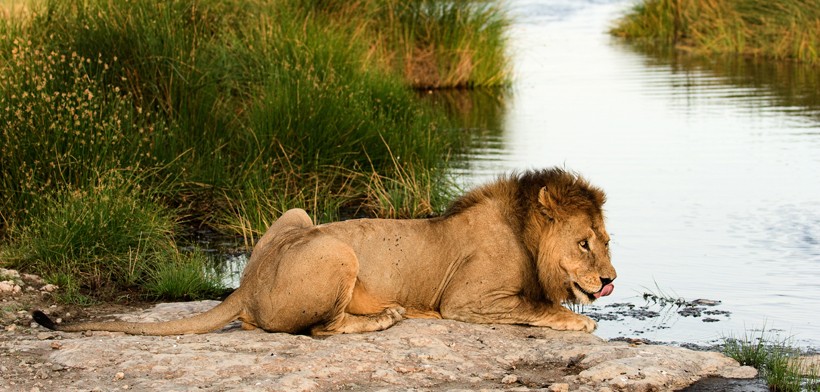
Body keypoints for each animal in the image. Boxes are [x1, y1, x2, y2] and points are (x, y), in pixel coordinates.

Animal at [35, 167, 620, 336]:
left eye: (607, 241)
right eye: (583, 243)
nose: (611, 280)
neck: (524, 233)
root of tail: (247, 282)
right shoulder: (467, 301)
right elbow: (539, 307)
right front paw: (578, 319)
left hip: (296, 215)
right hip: (339, 252)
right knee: (323, 329)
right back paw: (385, 317)